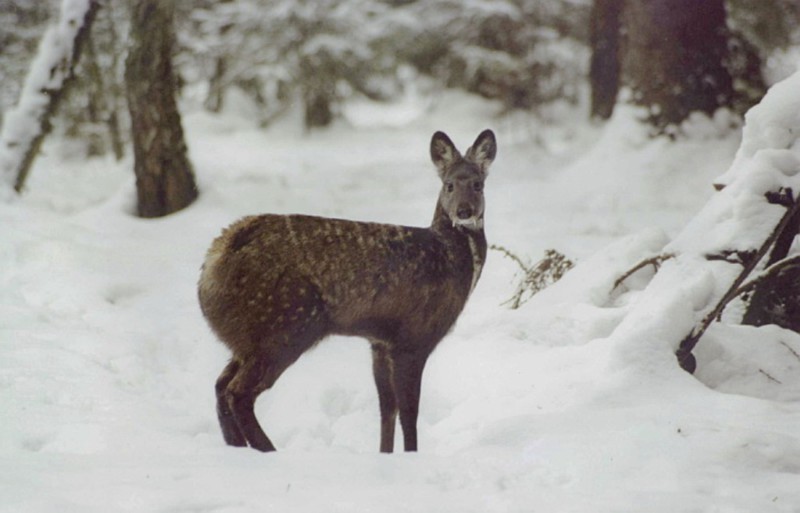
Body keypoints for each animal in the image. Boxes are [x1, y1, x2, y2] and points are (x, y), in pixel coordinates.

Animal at [198, 129, 496, 452]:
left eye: (478, 184)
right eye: (448, 185)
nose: (464, 211)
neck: (448, 257)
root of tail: (212, 264)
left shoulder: (380, 342)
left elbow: (387, 408)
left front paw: (385, 456)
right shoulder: (414, 335)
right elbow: (409, 412)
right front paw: (411, 457)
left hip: (247, 337)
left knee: (220, 386)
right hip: (284, 325)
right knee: (237, 393)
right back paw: (270, 452)